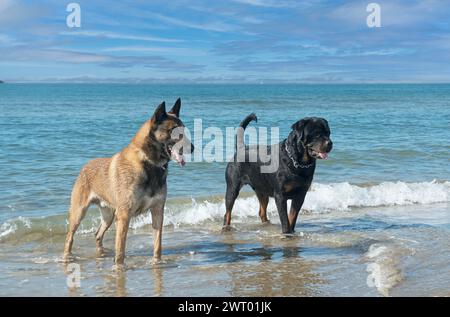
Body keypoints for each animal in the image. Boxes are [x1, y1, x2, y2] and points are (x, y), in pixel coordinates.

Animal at [62, 98, 192, 264]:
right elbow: (120, 251)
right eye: (175, 131)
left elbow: (157, 245)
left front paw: (157, 262)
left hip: (108, 216)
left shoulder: (157, 211)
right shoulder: (124, 216)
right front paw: (119, 267)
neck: (148, 162)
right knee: (69, 237)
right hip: (79, 213)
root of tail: (85, 166)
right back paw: (67, 257)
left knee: (98, 234)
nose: (193, 148)